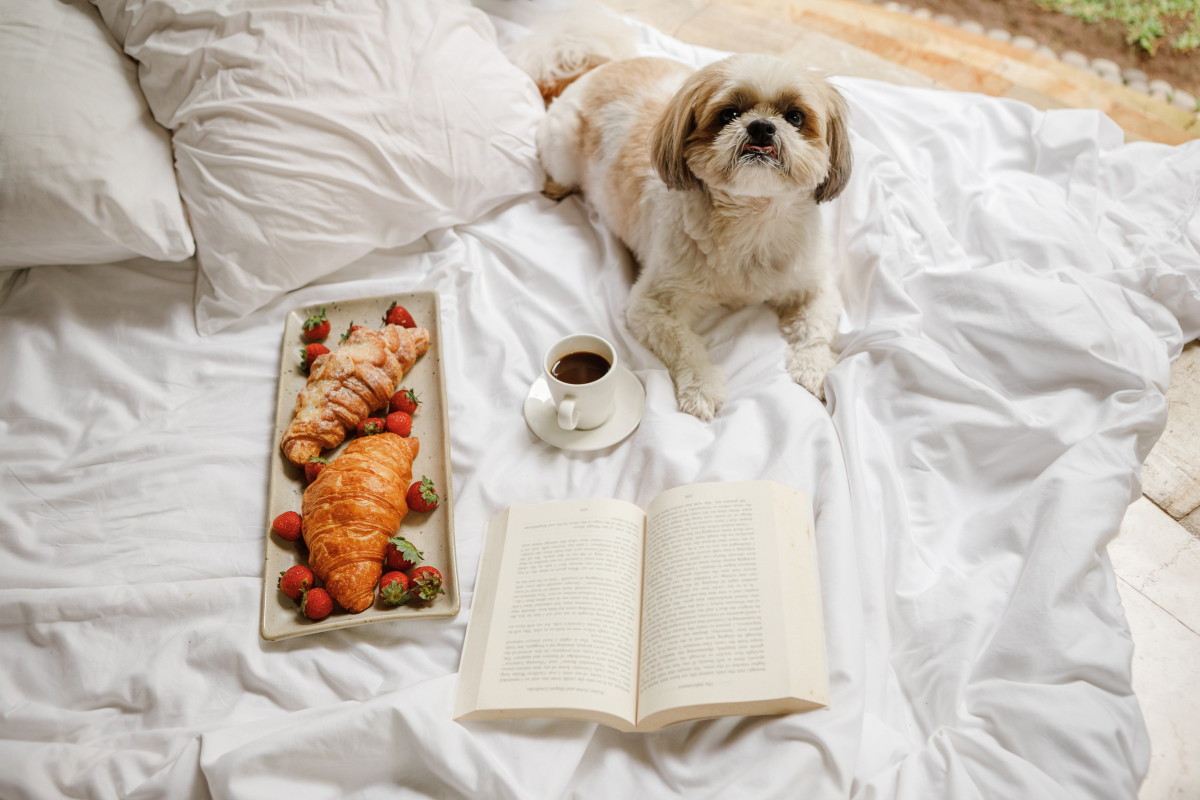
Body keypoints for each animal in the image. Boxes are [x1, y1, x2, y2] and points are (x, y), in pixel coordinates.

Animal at [516, 12, 854, 422]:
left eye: (795, 116)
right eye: (729, 114)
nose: (761, 126)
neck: (750, 221)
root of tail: (598, 69)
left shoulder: (813, 284)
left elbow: (816, 328)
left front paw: (814, 368)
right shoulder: (651, 306)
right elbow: (685, 344)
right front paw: (702, 389)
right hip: (562, 151)